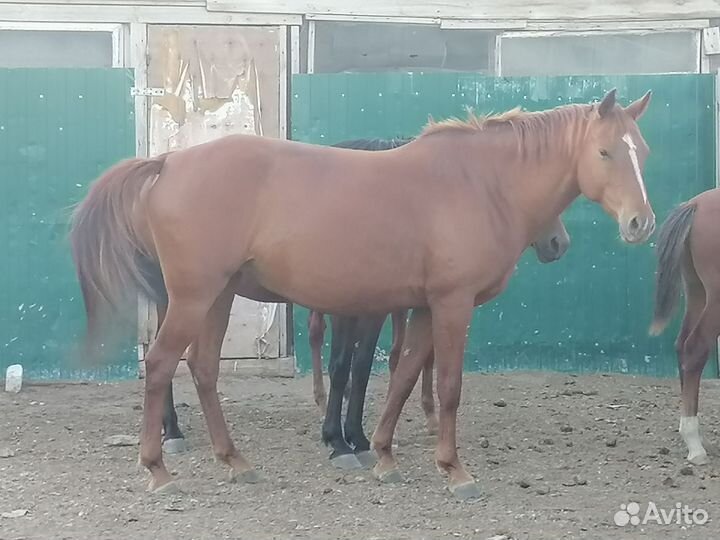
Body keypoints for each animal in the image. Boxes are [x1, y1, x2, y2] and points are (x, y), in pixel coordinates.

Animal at [70, 88, 654, 499]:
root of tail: (167, 163)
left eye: (642, 151)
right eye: (604, 151)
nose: (640, 223)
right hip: (193, 296)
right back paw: (159, 469)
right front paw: (454, 470)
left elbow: (402, 376)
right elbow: (446, 386)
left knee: (204, 368)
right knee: (161, 365)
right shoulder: (451, 304)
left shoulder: (420, 308)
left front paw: (383, 454)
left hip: (217, 297)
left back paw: (234, 461)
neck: (477, 184)